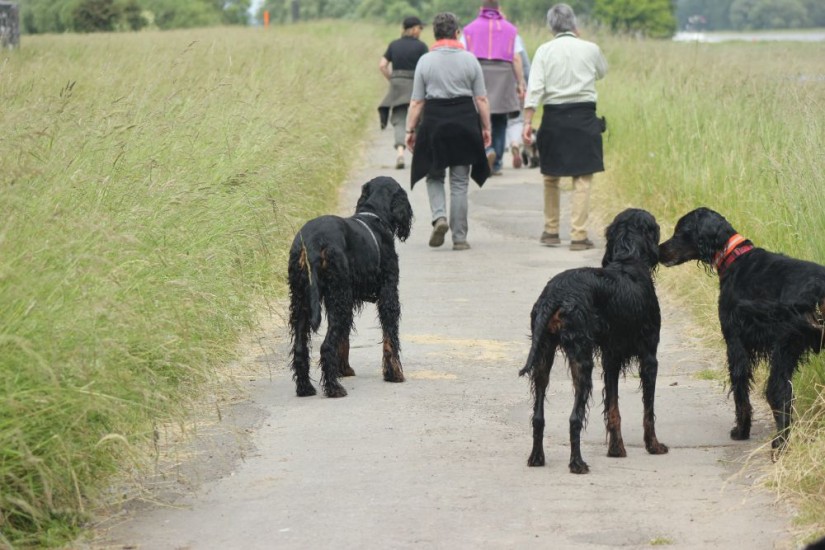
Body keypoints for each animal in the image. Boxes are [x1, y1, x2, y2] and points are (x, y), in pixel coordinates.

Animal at [286, 176, 413, 398]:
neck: (374, 215)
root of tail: (312, 242)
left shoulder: (346, 297)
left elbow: (344, 339)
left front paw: (343, 369)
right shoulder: (388, 294)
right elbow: (390, 337)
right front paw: (394, 373)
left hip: (303, 299)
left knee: (301, 347)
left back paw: (305, 388)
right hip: (338, 299)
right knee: (326, 346)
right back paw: (334, 388)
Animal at [520, 208, 669, 473]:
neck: (629, 259)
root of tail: (554, 295)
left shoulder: (611, 359)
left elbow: (613, 408)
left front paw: (616, 449)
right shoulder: (649, 357)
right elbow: (648, 410)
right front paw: (654, 445)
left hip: (543, 357)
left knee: (538, 416)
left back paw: (537, 457)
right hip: (582, 361)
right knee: (574, 418)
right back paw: (577, 463)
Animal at [659, 207, 825, 450]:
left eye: (680, 231)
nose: (658, 251)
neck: (735, 257)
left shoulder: (735, 342)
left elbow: (740, 389)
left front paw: (741, 430)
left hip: (784, 347)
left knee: (778, 390)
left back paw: (780, 442)